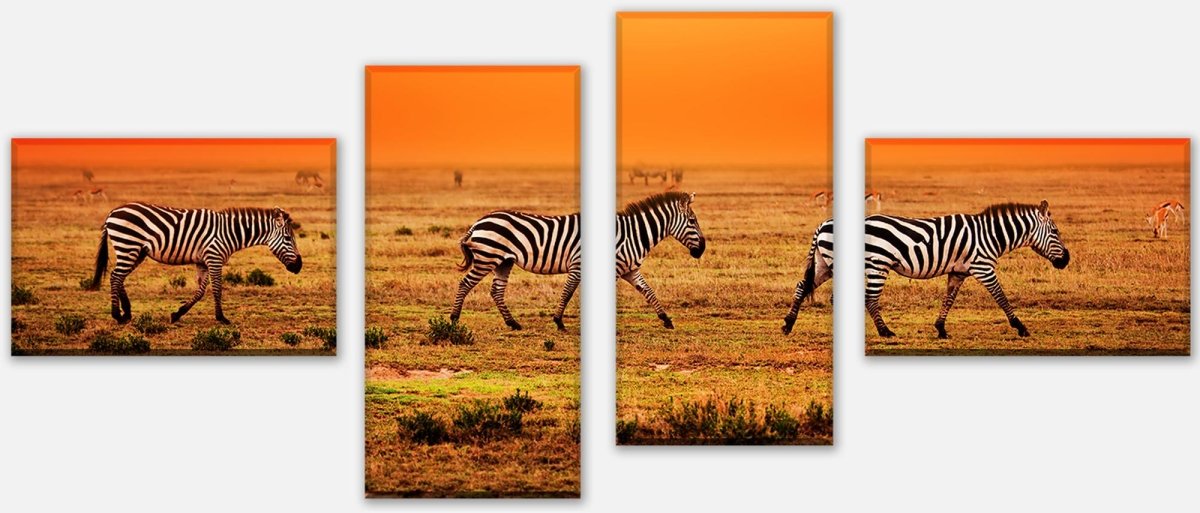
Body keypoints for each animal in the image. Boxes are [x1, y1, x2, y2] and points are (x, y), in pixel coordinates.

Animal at [87, 203, 303, 324]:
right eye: (288, 238)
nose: (299, 266)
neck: (229, 232)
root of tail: (112, 212)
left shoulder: (203, 262)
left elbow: (200, 292)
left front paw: (177, 314)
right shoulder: (214, 258)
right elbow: (217, 289)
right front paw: (222, 318)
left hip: (136, 251)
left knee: (119, 277)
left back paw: (127, 313)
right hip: (128, 245)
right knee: (116, 276)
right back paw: (117, 315)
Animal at [451, 210, 581, 331]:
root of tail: (477, 223)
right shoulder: (577, 263)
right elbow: (568, 293)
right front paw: (558, 322)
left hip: (504, 262)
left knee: (497, 290)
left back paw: (512, 323)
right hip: (487, 258)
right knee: (465, 284)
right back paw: (454, 318)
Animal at [617, 191, 706, 329]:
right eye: (692, 220)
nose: (702, 249)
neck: (631, 236)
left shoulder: (630, 271)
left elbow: (648, 291)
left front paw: (666, 319)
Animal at [865, 200, 1070, 339]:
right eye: (1055, 231)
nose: (1066, 260)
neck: (990, 235)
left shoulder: (958, 272)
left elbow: (949, 299)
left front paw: (941, 329)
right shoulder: (983, 268)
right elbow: (1001, 297)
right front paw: (1021, 327)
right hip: (878, 263)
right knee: (871, 299)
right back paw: (885, 331)